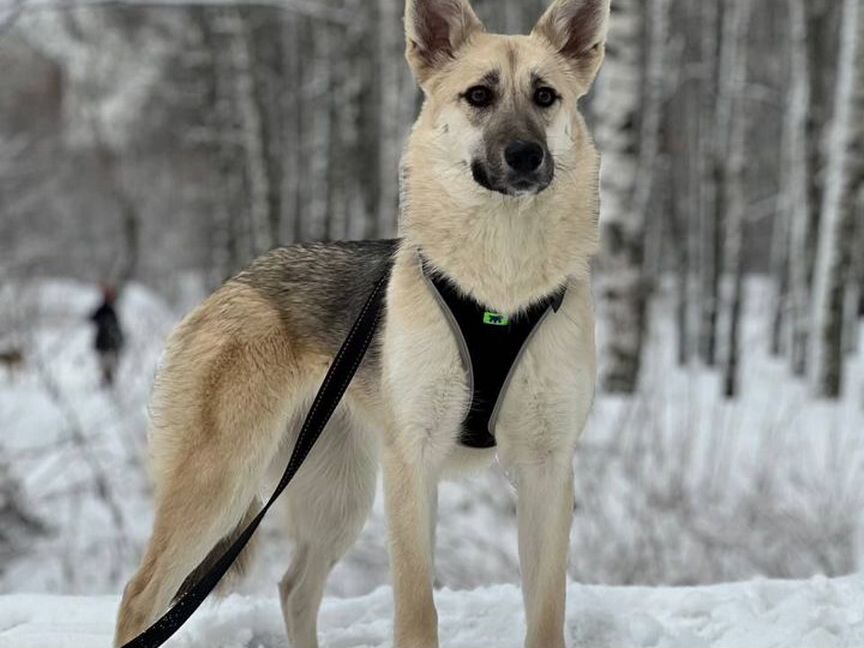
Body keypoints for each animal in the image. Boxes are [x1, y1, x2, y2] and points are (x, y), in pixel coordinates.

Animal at [116, 1, 608, 648]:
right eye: (479, 95)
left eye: (546, 95)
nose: (526, 155)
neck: (499, 286)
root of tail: (233, 284)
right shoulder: (413, 466)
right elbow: (417, 615)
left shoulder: (547, 471)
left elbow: (546, 616)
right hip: (220, 483)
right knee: (141, 596)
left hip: (335, 498)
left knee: (294, 588)